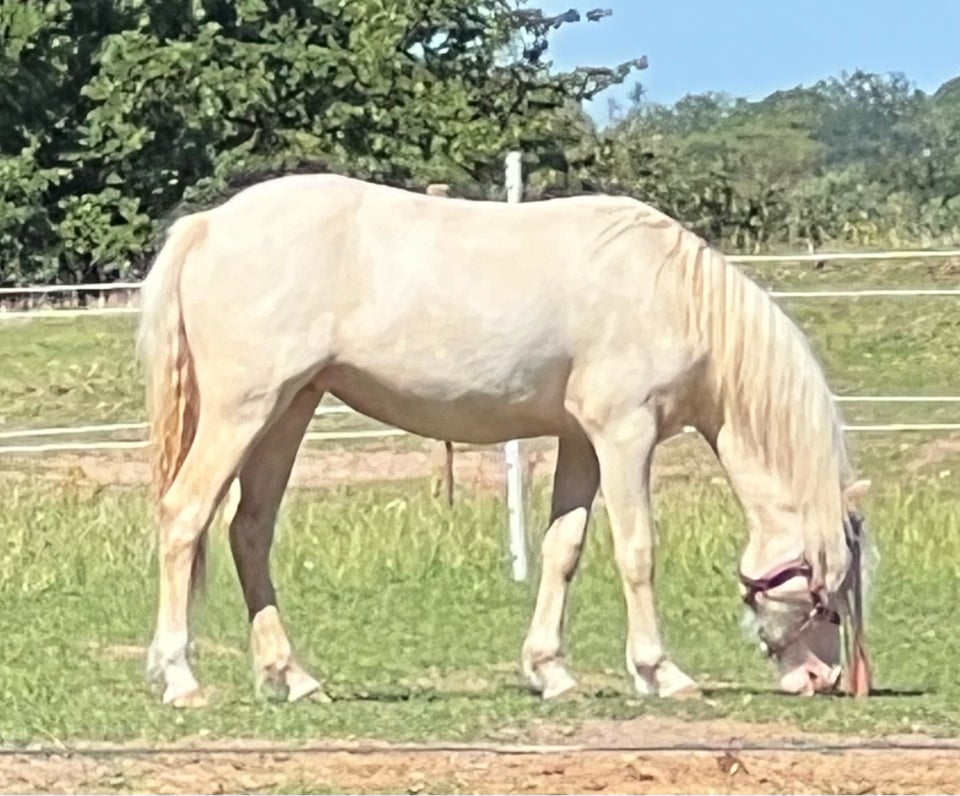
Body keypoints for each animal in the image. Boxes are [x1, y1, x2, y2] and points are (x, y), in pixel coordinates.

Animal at [139, 174, 872, 708]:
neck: (673, 294)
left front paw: (551, 672)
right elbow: (636, 551)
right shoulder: (625, 433)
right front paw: (661, 673)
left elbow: (563, 550)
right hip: (243, 411)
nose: (825, 680)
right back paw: (181, 680)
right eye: (827, 594)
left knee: (249, 532)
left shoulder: (581, 440)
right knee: (184, 517)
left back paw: (293, 678)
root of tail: (209, 225)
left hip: (289, 409)